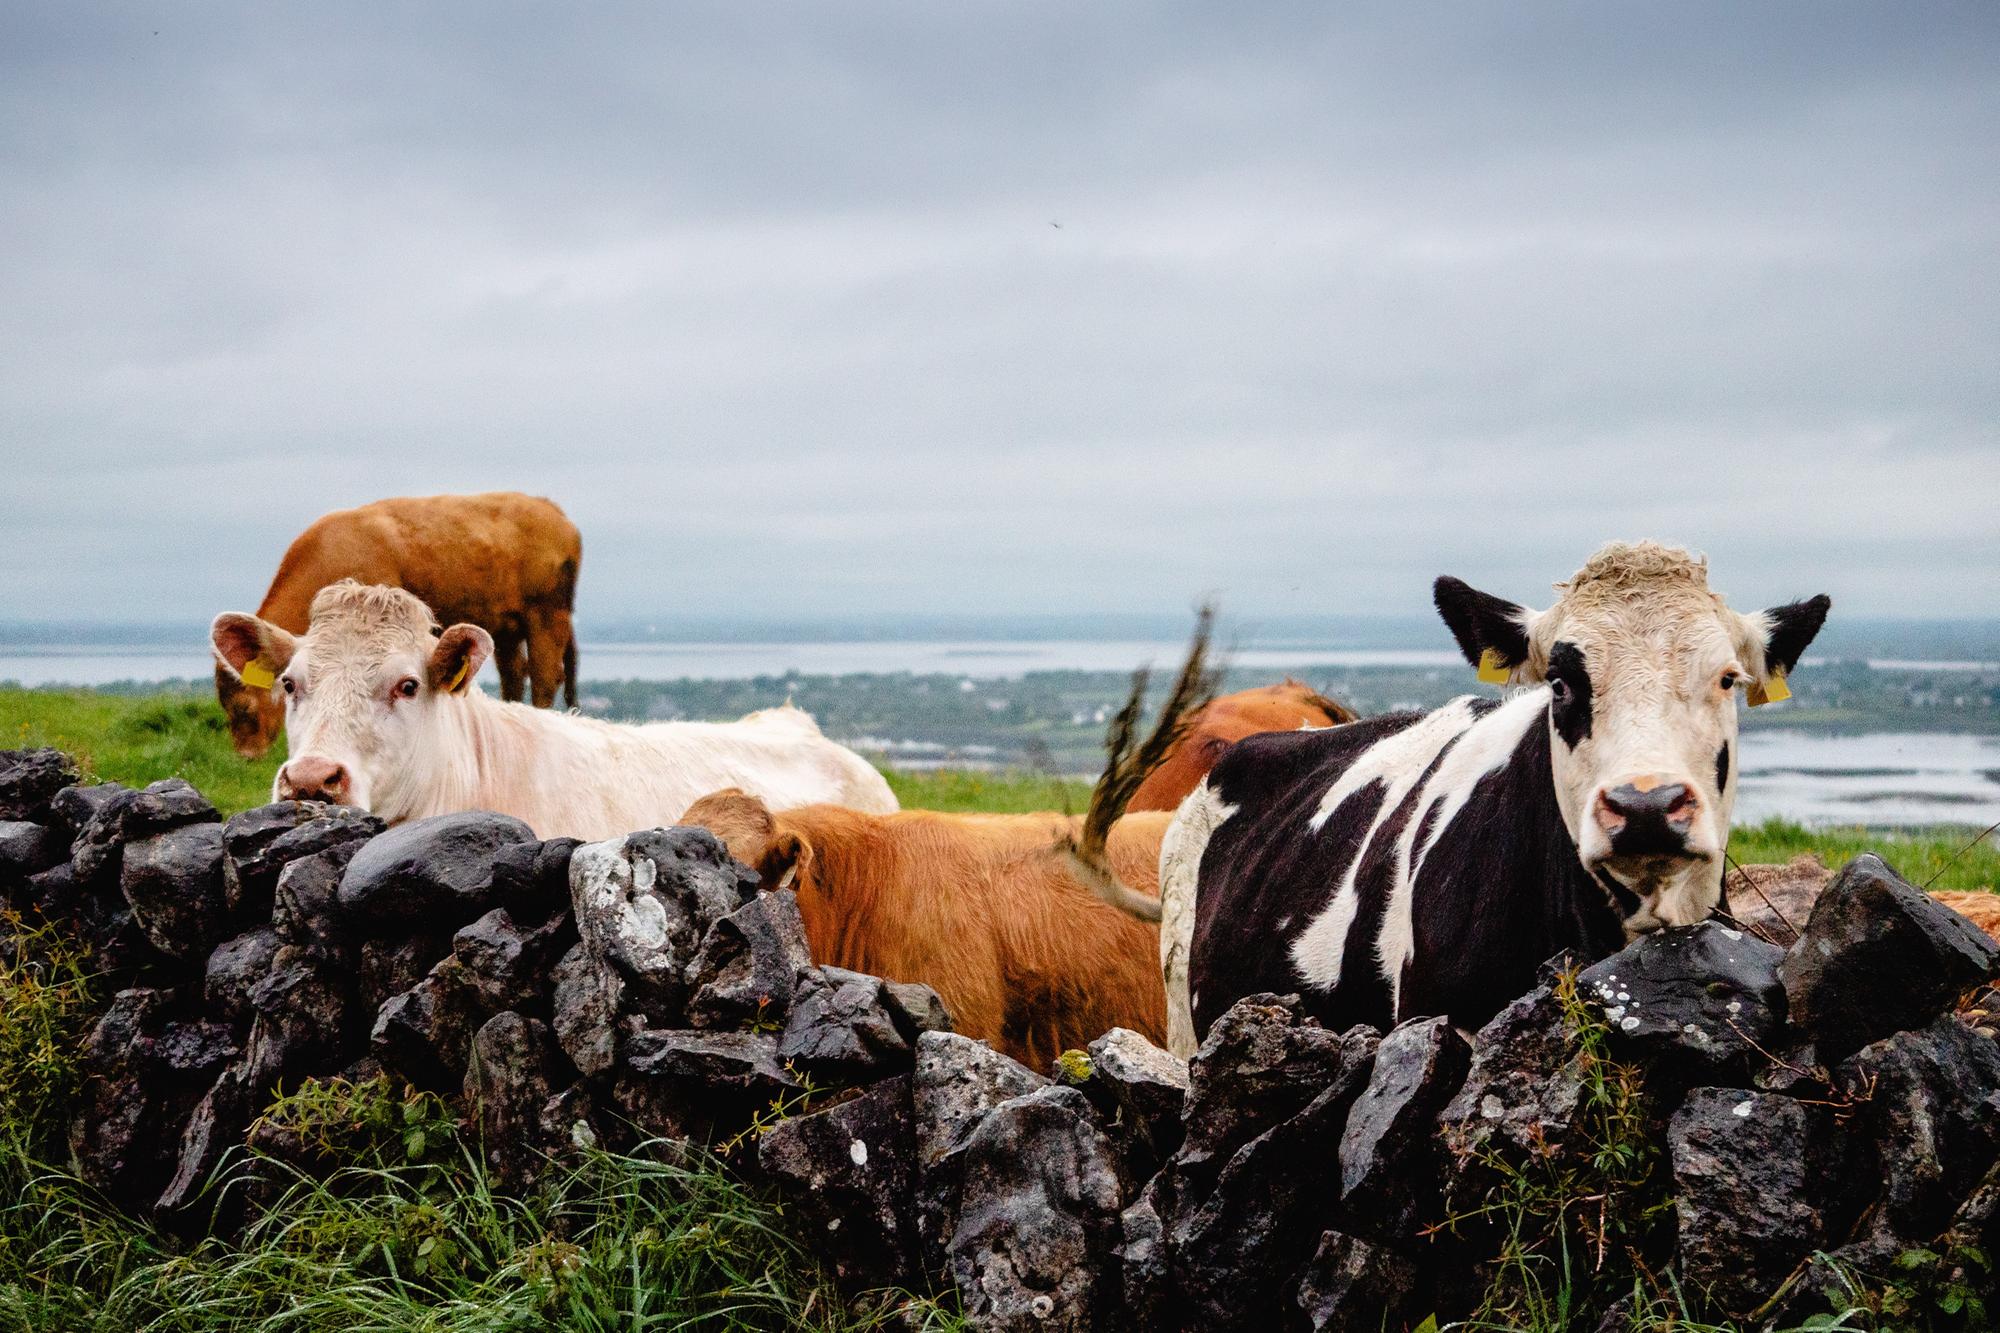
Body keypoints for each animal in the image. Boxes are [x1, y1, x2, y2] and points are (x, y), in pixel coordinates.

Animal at [216, 492, 582, 759]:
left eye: (245, 708)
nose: (247, 757)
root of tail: (550, 509)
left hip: (546, 614)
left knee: (545, 676)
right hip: (507, 626)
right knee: (515, 674)